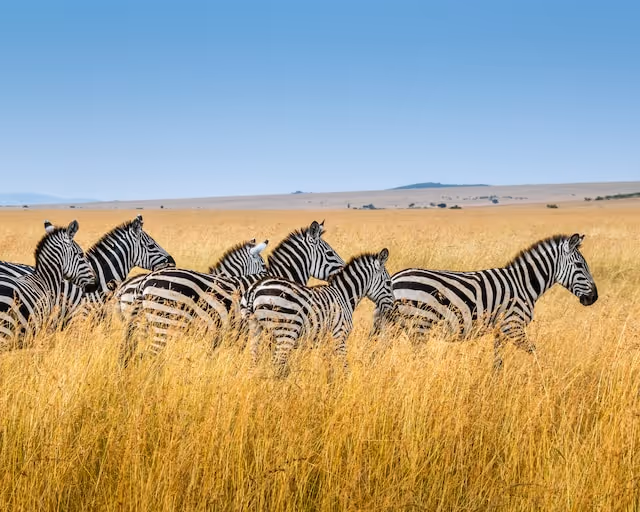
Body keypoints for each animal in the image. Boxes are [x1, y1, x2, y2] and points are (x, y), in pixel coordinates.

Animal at [243, 249, 393, 377]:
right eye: (388, 283)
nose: (393, 307)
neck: (344, 295)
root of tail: (255, 289)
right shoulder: (339, 335)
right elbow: (344, 366)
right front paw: (345, 384)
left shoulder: (326, 340)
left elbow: (329, 367)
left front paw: (329, 384)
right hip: (286, 332)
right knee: (277, 364)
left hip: (255, 329)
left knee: (253, 362)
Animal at [373, 234, 598, 369]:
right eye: (580, 265)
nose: (594, 298)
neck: (524, 284)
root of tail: (394, 278)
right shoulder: (513, 326)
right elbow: (535, 353)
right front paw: (544, 378)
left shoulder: (500, 330)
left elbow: (498, 362)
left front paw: (495, 386)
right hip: (419, 325)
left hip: (393, 327)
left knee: (376, 354)